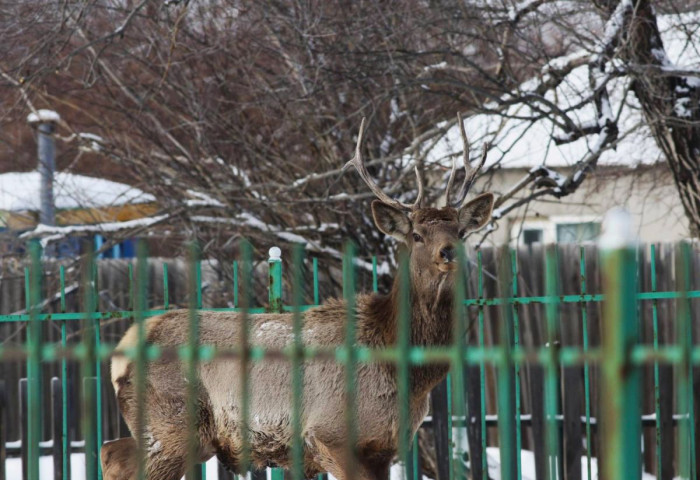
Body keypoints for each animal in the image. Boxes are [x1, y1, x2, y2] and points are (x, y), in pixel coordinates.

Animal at [104, 116, 494, 480]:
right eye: (416, 235)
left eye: (460, 231)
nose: (448, 251)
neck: (406, 371)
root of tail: (122, 352)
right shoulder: (332, 435)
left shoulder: (386, 447)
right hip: (171, 425)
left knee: (110, 452)